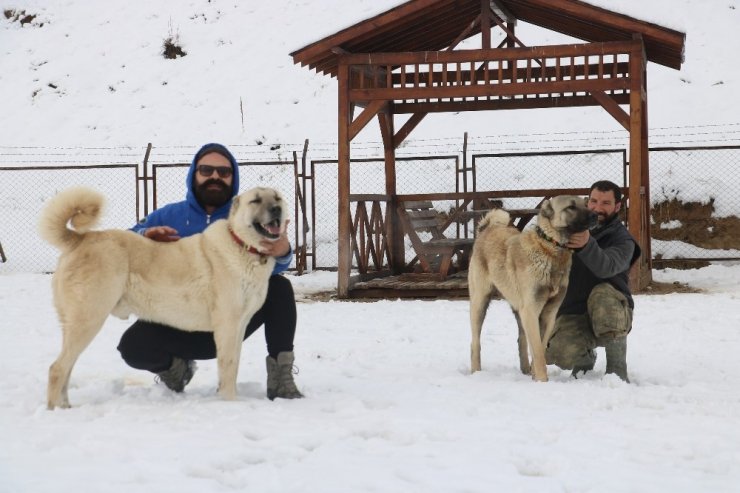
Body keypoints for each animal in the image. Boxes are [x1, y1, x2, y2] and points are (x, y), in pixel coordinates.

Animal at [38, 184, 286, 408]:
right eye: (255, 200)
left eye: (276, 197)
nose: (276, 209)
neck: (243, 247)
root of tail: (78, 239)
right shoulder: (228, 325)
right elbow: (228, 368)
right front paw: (230, 403)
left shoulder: (239, 326)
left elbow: (232, 367)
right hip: (88, 319)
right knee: (57, 368)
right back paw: (54, 412)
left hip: (77, 325)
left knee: (66, 367)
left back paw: (65, 406)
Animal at [468, 196, 596, 380]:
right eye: (571, 207)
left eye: (585, 204)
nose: (595, 216)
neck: (550, 247)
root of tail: (488, 228)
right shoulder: (531, 311)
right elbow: (538, 351)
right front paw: (542, 380)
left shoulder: (548, 315)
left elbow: (540, 348)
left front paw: (536, 376)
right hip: (480, 304)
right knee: (475, 342)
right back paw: (476, 372)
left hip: (519, 311)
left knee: (521, 340)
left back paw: (525, 371)